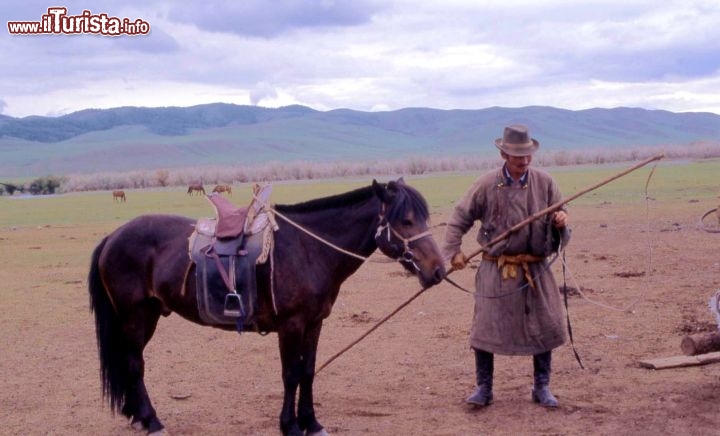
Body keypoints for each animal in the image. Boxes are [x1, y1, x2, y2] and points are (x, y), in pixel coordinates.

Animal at [88, 178, 444, 436]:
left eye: (423, 217)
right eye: (406, 220)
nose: (438, 270)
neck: (309, 248)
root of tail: (112, 237)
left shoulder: (314, 324)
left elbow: (308, 372)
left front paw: (312, 423)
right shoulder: (291, 325)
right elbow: (290, 374)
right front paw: (290, 426)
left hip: (147, 316)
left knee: (130, 361)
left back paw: (136, 415)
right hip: (134, 316)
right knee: (134, 364)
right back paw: (153, 422)